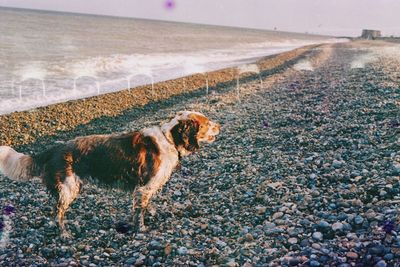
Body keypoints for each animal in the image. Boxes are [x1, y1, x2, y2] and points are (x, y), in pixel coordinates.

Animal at [0, 111, 220, 239]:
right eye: (207, 123)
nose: (220, 126)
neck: (170, 139)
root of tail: (53, 149)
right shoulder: (143, 187)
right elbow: (139, 212)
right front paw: (141, 229)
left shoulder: (146, 188)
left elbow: (146, 205)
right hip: (67, 188)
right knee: (57, 213)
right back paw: (64, 234)